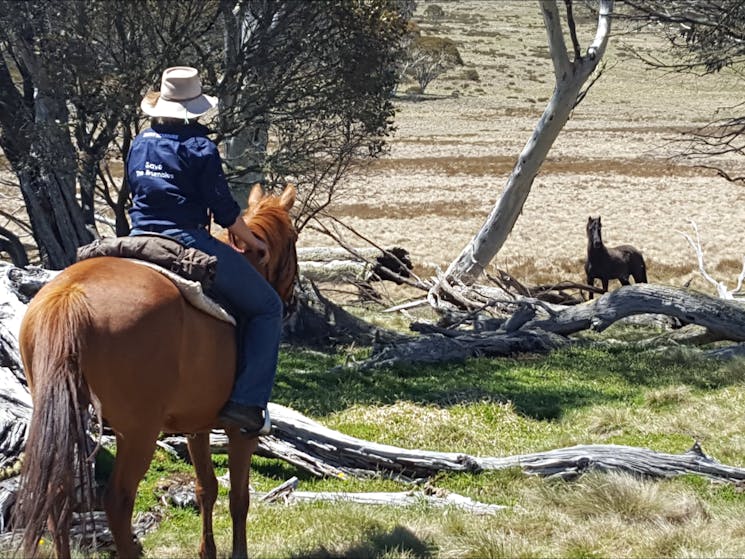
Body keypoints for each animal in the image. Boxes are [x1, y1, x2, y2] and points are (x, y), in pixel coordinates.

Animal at [14, 185, 300, 559]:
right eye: (294, 237)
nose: (293, 302)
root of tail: (70, 294)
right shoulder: (241, 431)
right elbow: (239, 498)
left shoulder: (197, 426)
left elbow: (206, 487)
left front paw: (207, 550)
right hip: (138, 433)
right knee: (117, 501)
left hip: (67, 417)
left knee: (58, 494)